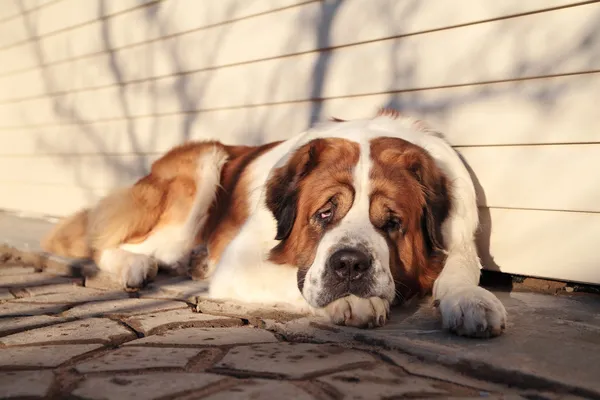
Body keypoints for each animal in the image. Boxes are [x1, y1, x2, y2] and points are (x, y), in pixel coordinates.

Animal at [41, 109, 506, 338]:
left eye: (391, 222)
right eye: (324, 213)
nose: (350, 265)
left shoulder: (460, 240)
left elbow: (462, 271)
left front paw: (471, 302)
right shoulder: (241, 262)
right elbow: (296, 280)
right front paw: (354, 302)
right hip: (199, 173)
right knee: (108, 242)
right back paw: (135, 266)